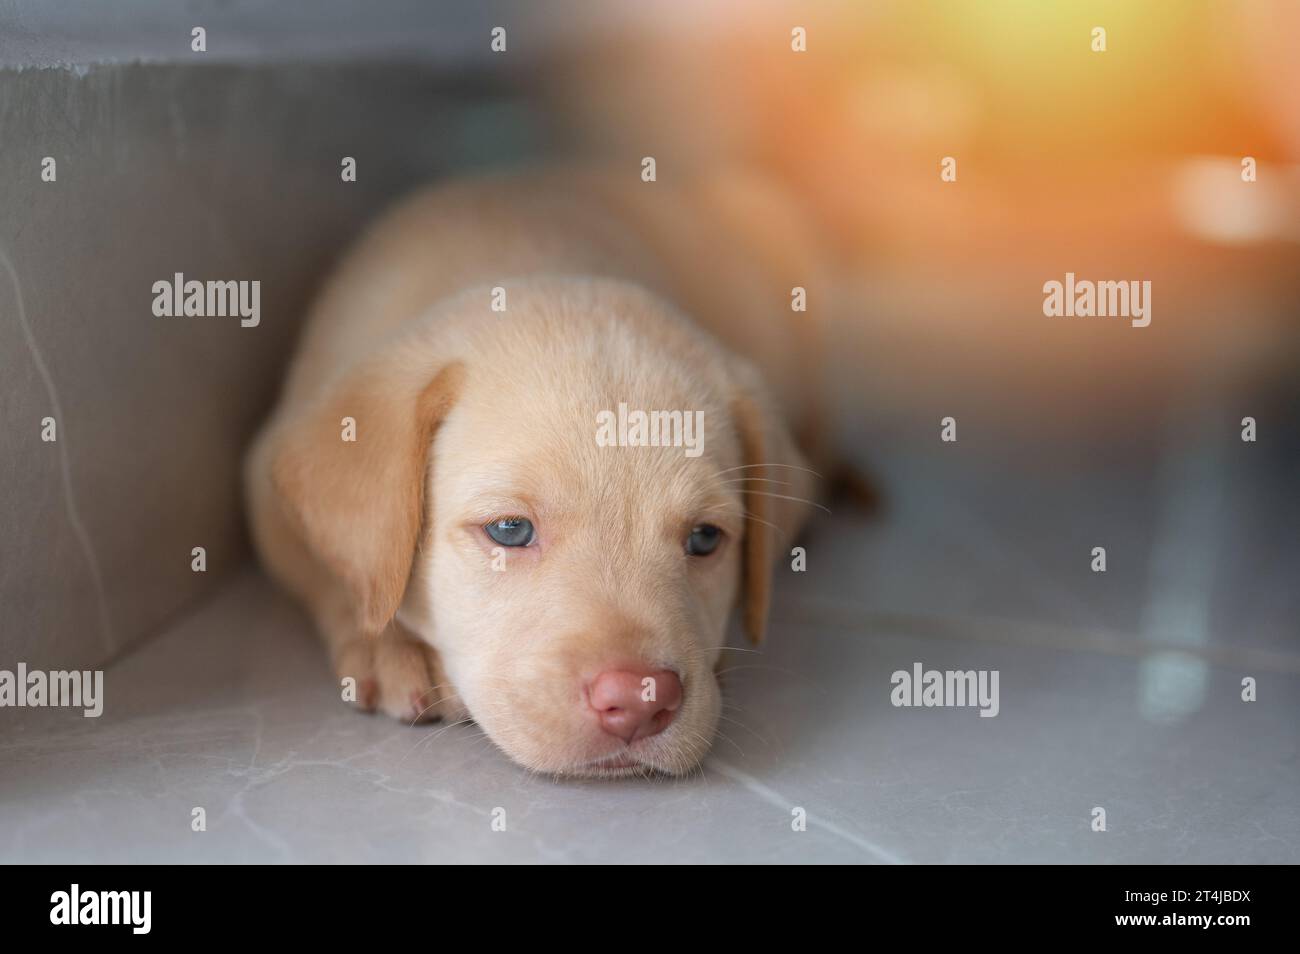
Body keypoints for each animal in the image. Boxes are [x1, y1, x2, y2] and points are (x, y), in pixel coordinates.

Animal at [246, 166, 826, 779]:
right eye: (509, 530)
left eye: (705, 539)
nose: (640, 702)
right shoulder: (265, 474)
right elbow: (336, 566)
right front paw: (389, 642)